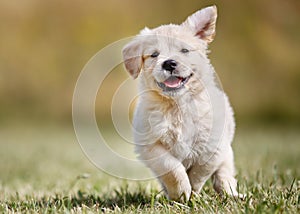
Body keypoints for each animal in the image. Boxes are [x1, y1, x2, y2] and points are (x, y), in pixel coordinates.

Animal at [122, 6, 241, 201]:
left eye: (184, 51)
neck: (177, 105)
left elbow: (200, 171)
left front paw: (192, 192)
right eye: (154, 54)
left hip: (227, 152)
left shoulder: (213, 146)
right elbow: (171, 168)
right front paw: (181, 193)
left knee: (224, 172)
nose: (169, 63)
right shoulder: (151, 146)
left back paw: (231, 193)